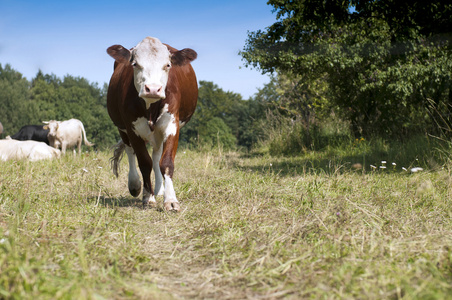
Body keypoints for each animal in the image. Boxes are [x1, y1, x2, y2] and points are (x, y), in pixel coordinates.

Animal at [107, 37, 199, 211]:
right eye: (135, 64)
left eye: (168, 65)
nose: (153, 89)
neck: (150, 107)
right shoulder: (132, 128)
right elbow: (144, 162)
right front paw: (147, 197)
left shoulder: (172, 125)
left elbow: (166, 162)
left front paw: (170, 199)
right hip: (122, 128)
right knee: (130, 152)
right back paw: (135, 185)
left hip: (158, 132)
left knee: (157, 156)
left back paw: (159, 189)